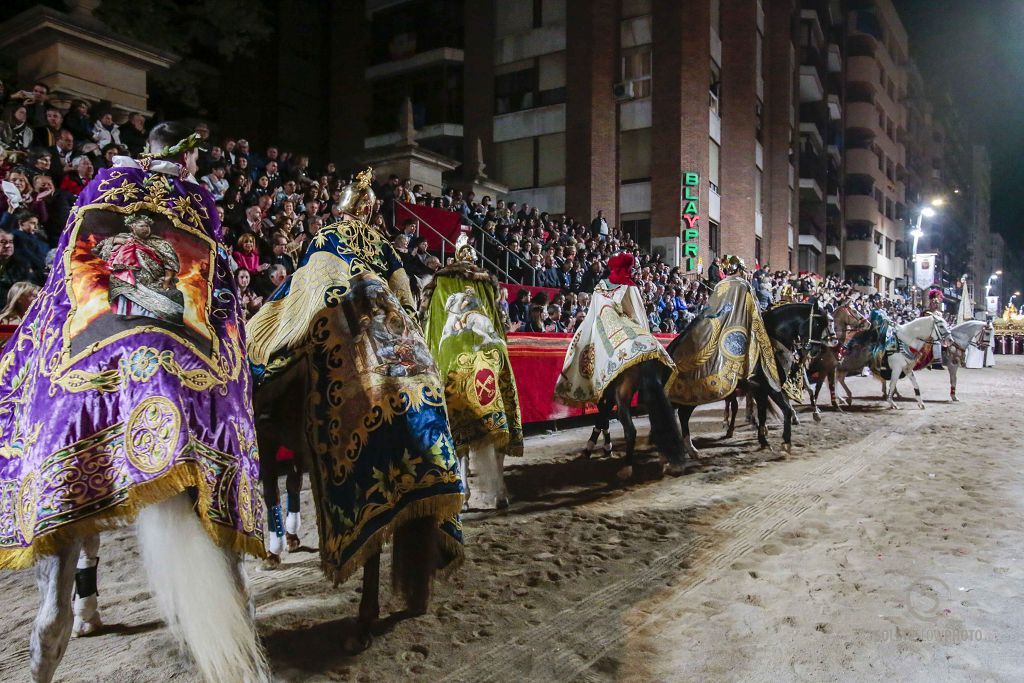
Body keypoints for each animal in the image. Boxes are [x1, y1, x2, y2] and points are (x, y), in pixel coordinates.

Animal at [671, 301, 831, 456]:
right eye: (817, 324)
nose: (816, 351)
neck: (771, 340)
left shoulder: (759, 389)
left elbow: (762, 413)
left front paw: (763, 440)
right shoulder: (771, 387)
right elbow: (786, 409)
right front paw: (786, 442)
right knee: (683, 414)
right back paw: (691, 448)